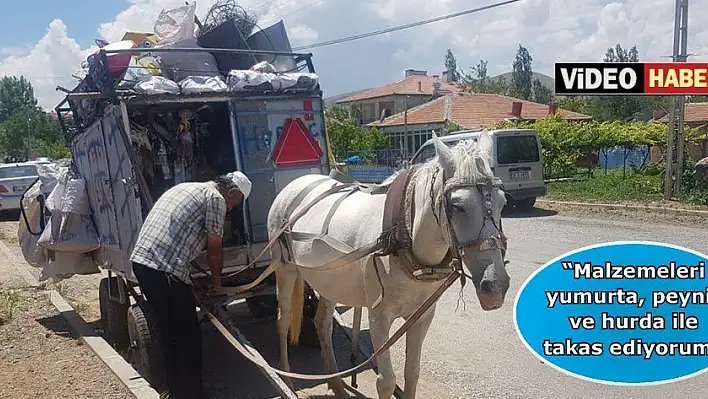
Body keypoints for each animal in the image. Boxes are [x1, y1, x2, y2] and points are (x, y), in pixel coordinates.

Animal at [266, 130, 508, 396]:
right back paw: (288, 380)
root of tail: (295, 184)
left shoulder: (422, 315)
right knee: (283, 320)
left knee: (322, 324)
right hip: (285, 269)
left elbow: (412, 373)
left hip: (329, 282)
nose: (495, 287)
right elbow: (387, 381)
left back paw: (336, 384)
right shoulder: (378, 316)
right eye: (457, 206)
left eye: (503, 202)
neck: (403, 235)